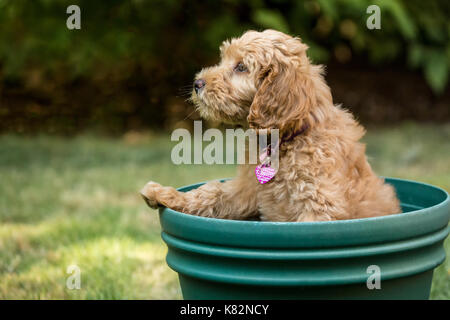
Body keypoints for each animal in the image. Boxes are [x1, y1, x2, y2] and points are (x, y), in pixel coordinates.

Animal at [142, 28, 400, 221]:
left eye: (241, 67)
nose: (197, 83)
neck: (285, 140)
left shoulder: (320, 205)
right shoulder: (246, 190)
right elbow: (211, 193)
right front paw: (164, 193)